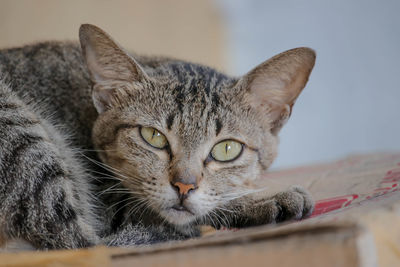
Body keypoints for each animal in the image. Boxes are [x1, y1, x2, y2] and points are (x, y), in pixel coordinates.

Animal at [0, 24, 316, 250]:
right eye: (153, 136)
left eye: (226, 149)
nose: (184, 186)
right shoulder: (116, 205)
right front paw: (267, 201)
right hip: (23, 135)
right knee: (79, 241)